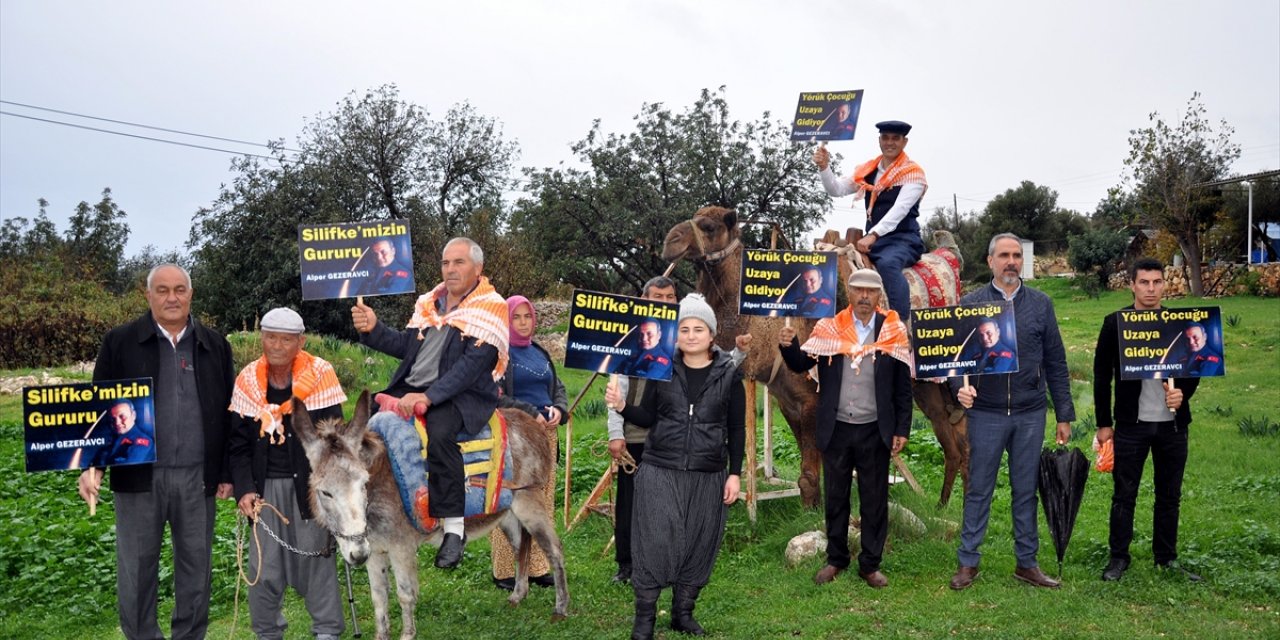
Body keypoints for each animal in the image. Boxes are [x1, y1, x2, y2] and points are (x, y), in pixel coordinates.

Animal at [293, 389, 573, 640]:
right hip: (507, 513)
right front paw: (382, 634)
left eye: (364, 483)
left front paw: (407, 635)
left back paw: (561, 609)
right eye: (325, 492)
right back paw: (518, 595)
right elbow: (379, 599)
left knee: (554, 549)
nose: (357, 554)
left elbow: (405, 595)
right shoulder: (375, 550)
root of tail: (534, 425)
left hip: (530, 502)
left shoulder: (401, 547)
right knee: (520, 547)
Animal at [665, 207, 962, 506]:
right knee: (954, 435)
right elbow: (810, 474)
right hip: (924, 385)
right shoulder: (788, 402)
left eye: (709, 226)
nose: (670, 241)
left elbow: (809, 474)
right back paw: (942, 504)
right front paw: (815, 507)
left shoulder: (813, 400)